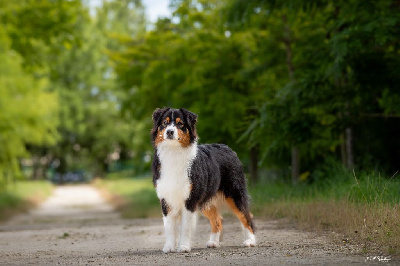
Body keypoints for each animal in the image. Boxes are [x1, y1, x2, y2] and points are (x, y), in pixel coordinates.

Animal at [150, 107, 256, 252]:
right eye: (164, 123)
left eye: (180, 124)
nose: (170, 132)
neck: (173, 152)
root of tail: (228, 148)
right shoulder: (166, 198)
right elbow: (169, 226)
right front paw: (169, 247)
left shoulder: (190, 199)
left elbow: (185, 227)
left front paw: (183, 247)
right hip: (206, 200)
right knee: (218, 219)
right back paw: (213, 242)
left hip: (235, 194)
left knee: (246, 215)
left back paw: (250, 241)